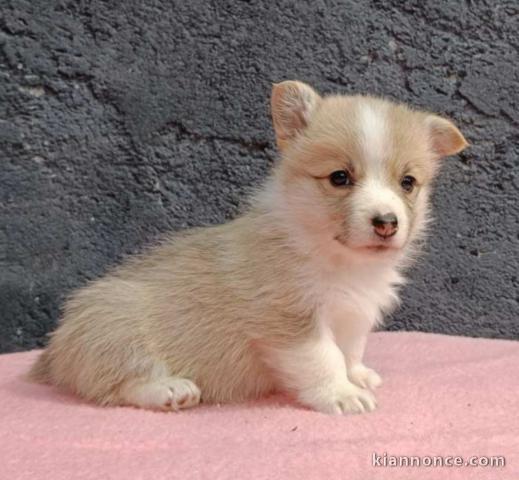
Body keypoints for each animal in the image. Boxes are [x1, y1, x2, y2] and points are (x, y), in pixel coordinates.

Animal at [28, 80, 470, 414]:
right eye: (339, 177)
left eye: (408, 182)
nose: (386, 223)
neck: (333, 256)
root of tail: (53, 355)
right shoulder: (290, 320)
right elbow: (324, 358)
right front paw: (342, 394)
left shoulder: (354, 314)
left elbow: (350, 350)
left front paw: (359, 375)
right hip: (116, 325)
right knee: (115, 385)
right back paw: (170, 390)